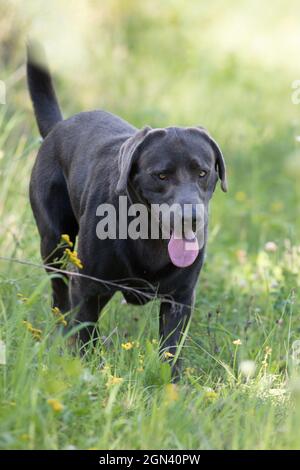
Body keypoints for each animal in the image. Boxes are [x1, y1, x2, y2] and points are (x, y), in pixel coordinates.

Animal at [27, 46, 227, 380]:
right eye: (161, 175)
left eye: (203, 172)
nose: (190, 217)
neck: (150, 237)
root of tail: (59, 126)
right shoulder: (88, 288)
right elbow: (85, 336)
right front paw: (86, 372)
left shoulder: (181, 298)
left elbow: (171, 349)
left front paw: (172, 385)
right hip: (54, 242)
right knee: (60, 295)